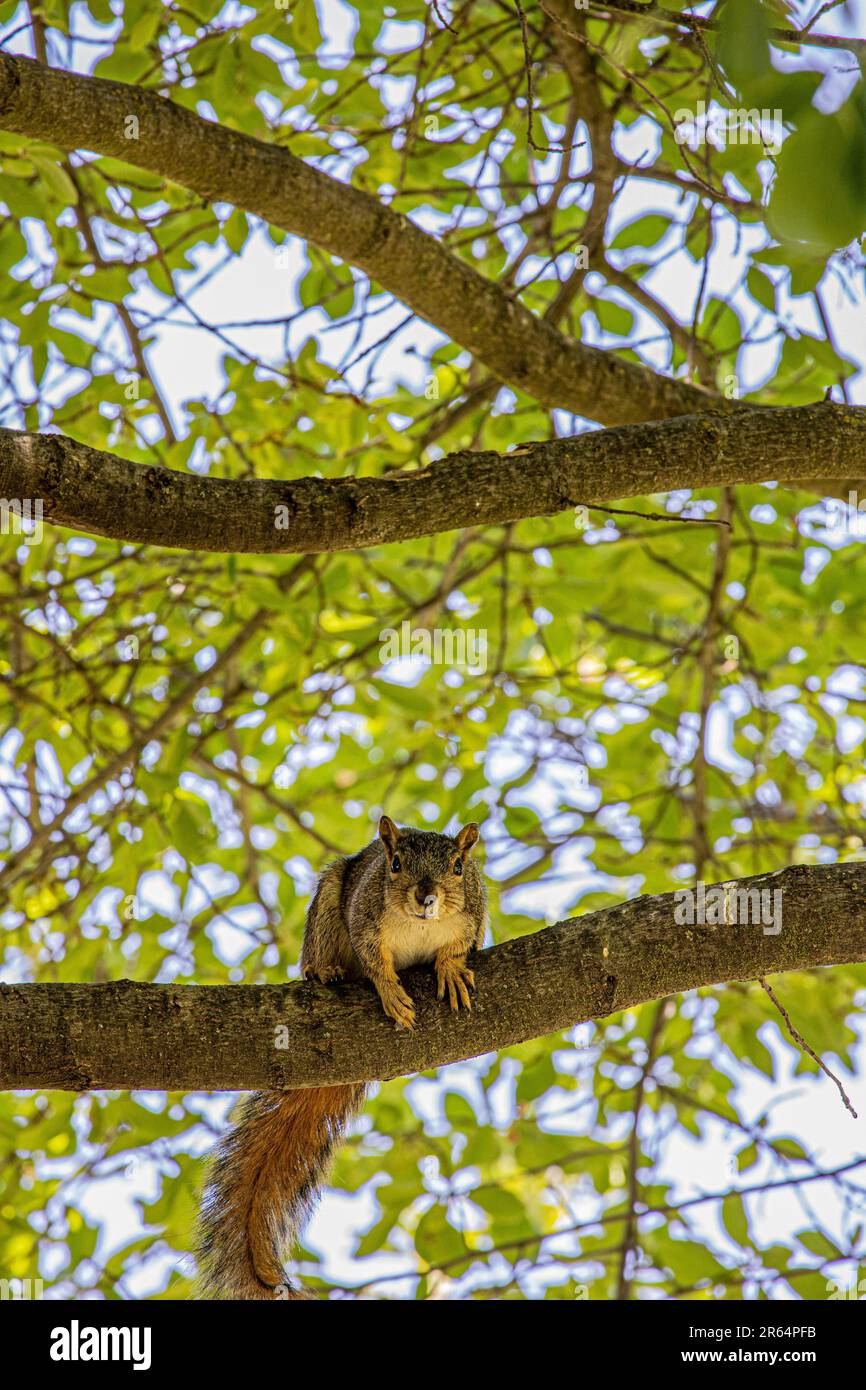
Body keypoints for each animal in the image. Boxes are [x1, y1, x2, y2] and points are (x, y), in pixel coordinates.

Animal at [196, 814, 487, 1300]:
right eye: (394, 863)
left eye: (459, 868)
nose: (426, 898)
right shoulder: (363, 919)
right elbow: (374, 961)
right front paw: (389, 990)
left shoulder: (474, 918)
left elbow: (456, 949)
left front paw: (448, 968)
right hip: (329, 905)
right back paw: (324, 970)